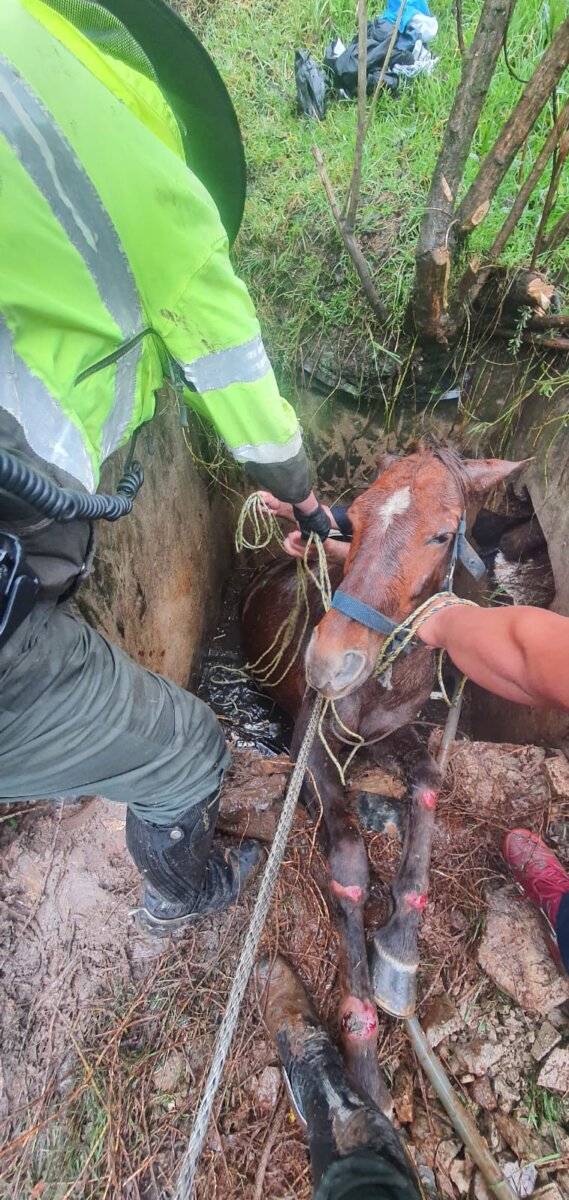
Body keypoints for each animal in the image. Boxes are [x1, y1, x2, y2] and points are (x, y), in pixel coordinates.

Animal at [242, 443, 521, 1110]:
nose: (328, 662)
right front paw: (363, 1060)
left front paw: (398, 948)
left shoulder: (393, 732)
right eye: (357, 517)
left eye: (443, 533)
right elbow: (347, 865)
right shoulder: (310, 743)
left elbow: (427, 783)